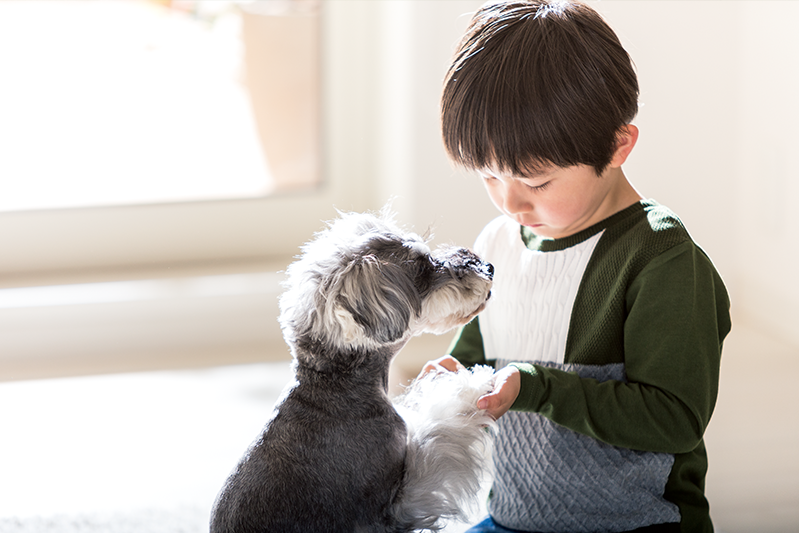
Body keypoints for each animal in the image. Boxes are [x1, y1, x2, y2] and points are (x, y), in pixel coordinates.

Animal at [209, 209, 496, 532]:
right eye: (424, 267)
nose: (488, 267)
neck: (336, 387)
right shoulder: (392, 509)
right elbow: (439, 433)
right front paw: (468, 388)